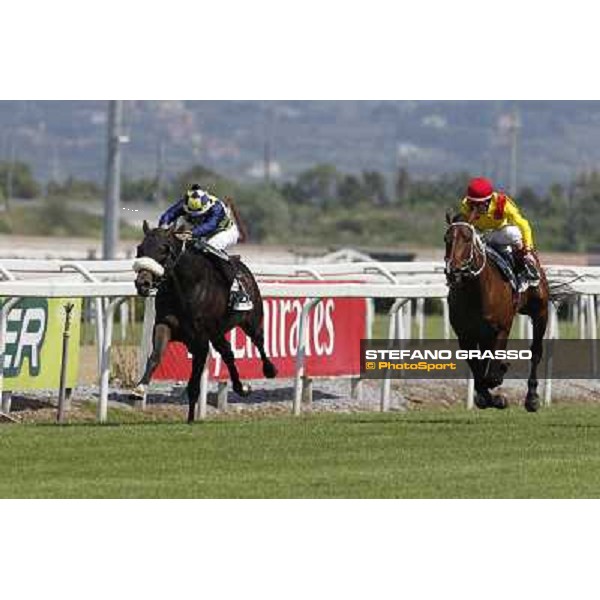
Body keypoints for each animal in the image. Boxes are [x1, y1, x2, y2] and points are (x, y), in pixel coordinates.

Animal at [134, 220, 276, 422]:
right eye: (140, 248)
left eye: (165, 249)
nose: (143, 284)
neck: (185, 287)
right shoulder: (164, 325)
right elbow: (155, 356)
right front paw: (140, 388)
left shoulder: (200, 340)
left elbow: (194, 384)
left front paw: (191, 418)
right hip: (217, 334)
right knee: (228, 353)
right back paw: (241, 387)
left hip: (251, 321)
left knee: (260, 343)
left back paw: (269, 370)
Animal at [442, 216, 552, 412]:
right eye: (446, 239)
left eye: (467, 239)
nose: (453, 271)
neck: (475, 292)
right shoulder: (465, 335)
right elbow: (479, 374)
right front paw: (489, 398)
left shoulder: (501, 328)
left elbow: (490, 373)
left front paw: (498, 378)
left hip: (540, 311)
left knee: (536, 351)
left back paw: (532, 397)